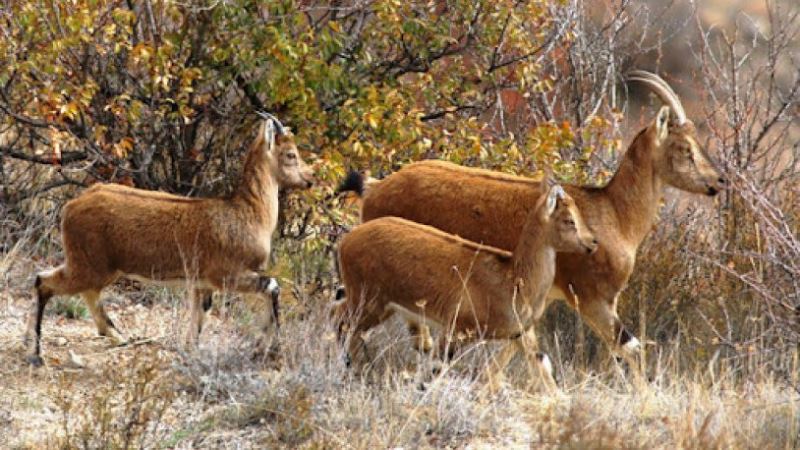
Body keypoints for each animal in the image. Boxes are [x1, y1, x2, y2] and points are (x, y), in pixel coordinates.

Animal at [25, 112, 312, 366]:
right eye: (290, 154)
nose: (309, 179)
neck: (249, 212)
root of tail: (70, 208)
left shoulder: (201, 283)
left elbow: (199, 317)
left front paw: (191, 353)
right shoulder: (227, 274)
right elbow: (272, 287)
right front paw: (267, 348)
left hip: (94, 266)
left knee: (82, 290)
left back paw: (116, 336)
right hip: (89, 265)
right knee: (44, 282)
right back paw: (36, 353)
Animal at [330, 183, 592, 386]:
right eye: (569, 220)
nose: (592, 243)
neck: (514, 279)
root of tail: (345, 242)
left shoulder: (521, 333)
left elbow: (543, 368)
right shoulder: (455, 328)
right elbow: (435, 369)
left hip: (379, 305)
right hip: (368, 302)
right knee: (340, 320)